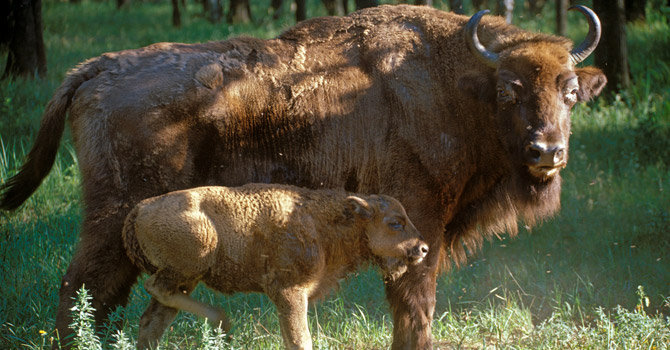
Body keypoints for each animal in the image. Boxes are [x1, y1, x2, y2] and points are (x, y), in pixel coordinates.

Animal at [122, 185, 428, 348]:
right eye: (395, 222)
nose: (423, 248)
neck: (323, 223)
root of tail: (140, 208)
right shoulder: (289, 293)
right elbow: (299, 339)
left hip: (186, 278)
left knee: (152, 320)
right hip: (191, 265)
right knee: (155, 289)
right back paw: (221, 319)